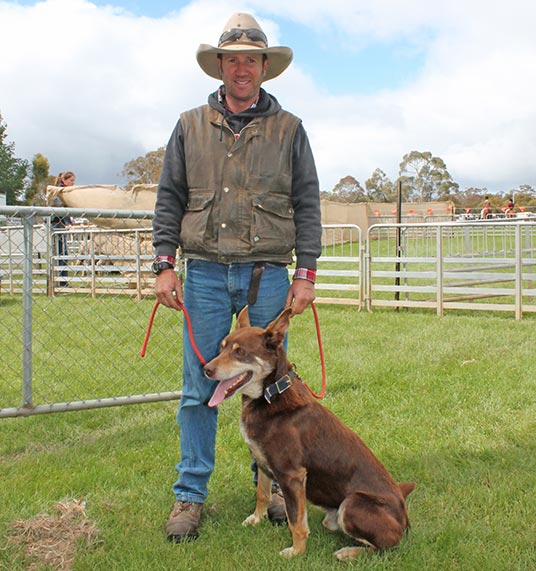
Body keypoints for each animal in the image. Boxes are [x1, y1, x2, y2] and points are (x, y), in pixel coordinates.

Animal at [205, 306, 414, 560]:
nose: (206, 369)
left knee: (387, 546)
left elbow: (296, 521)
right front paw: (256, 518)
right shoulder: (262, 461)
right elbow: (262, 494)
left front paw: (296, 552)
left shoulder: (292, 475)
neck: (270, 395)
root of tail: (404, 514)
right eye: (222, 347)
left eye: (240, 352)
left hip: (351, 504)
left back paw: (348, 552)